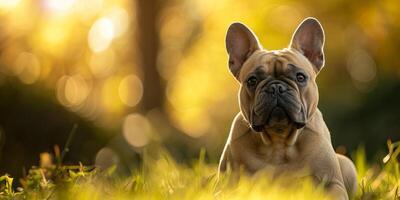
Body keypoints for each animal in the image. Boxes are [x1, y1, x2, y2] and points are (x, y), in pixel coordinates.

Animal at [217, 18, 358, 199]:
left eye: (300, 77)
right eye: (252, 80)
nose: (276, 87)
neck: (279, 140)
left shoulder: (332, 183)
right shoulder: (225, 187)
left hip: (347, 164)